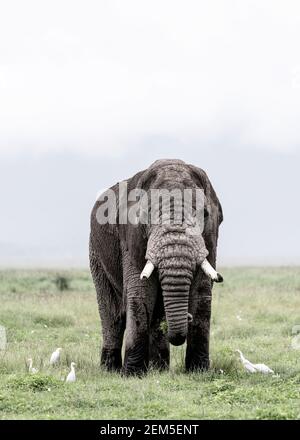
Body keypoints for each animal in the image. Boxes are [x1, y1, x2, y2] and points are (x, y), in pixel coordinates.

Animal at [89, 158, 223, 374]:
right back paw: (110, 370)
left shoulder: (210, 239)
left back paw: (158, 369)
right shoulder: (131, 238)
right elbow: (141, 291)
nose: (187, 317)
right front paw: (132, 374)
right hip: (96, 251)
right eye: (146, 215)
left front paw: (199, 372)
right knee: (113, 315)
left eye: (204, 214)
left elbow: (202, 292)